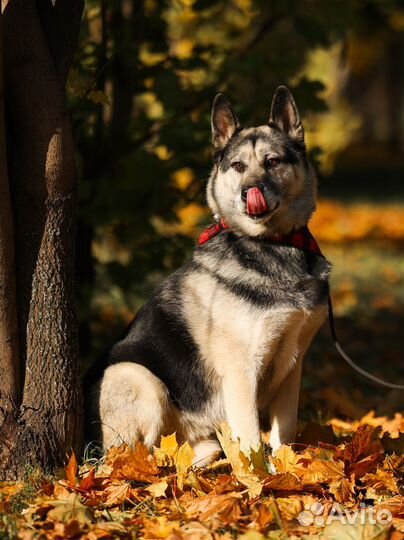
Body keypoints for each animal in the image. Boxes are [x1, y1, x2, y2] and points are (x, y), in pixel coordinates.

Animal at [87, 86, 330, 466]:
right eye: (238, 166)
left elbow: (283, 434)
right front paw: (260, 476)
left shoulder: (293, 366)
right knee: (133, 457)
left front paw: (286, 469)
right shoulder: (241, 373)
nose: (249, 193)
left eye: (273, 162)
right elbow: (251, 440)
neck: (272, 245)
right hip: (138, 378)